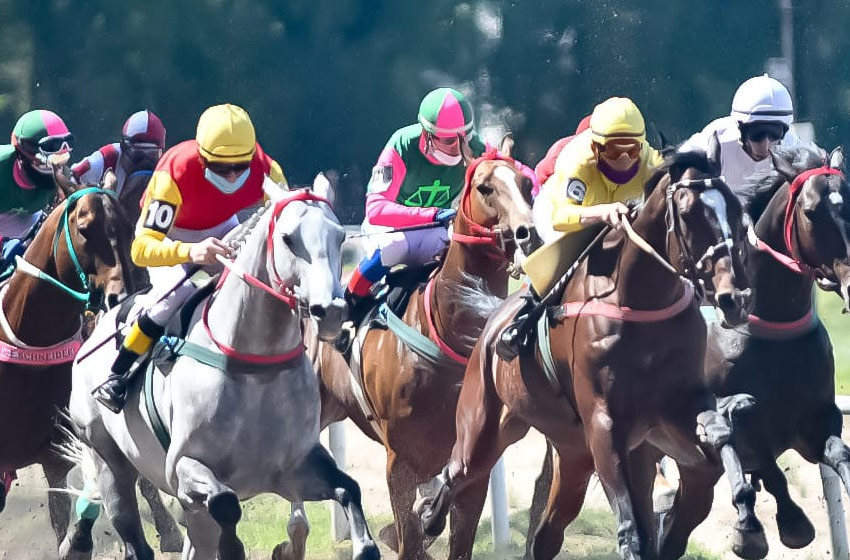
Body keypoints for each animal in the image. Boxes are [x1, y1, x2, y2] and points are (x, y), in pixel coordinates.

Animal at [61, 179, 376, 560]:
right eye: (288, 238)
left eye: (340, 238)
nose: (330, 311)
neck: (254, 366)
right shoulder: (183, 468)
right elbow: (225, 504)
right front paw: (233, 544)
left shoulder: (294, 470)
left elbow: (349, 489)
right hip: (107, 457)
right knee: (135, 535)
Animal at [308, 141, 540, 560]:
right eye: (484, 187)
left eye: (527, 184)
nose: (526, 233)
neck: (444, 335)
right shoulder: (399, 463)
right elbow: (410, 537)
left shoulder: (473, 468)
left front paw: (429, 516)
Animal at [420, 149, 760, 560]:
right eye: (688, 213)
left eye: (736, 209)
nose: (736, 298)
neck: (642, 300)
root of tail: (494, 319)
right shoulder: (603, 422)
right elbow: (631, 529)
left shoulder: (675, 408)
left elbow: (717, 442)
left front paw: (746, 523)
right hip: (485, 427)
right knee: (457, 473)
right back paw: (427, 516)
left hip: (574, 455)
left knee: (546, 535)